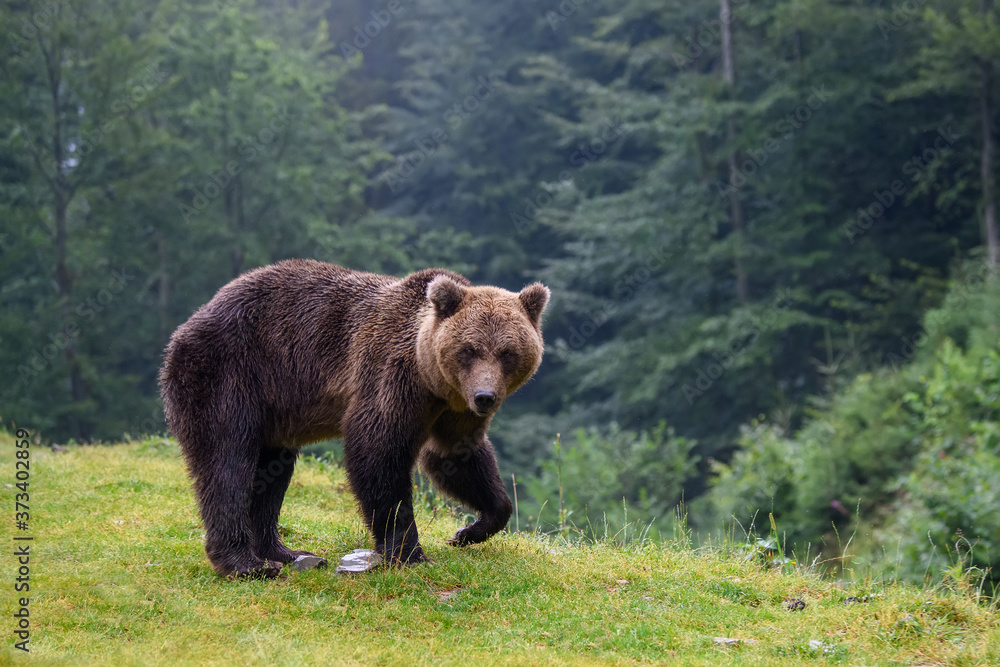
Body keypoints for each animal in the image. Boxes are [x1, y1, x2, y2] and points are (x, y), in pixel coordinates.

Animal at [158, 260, 548, 580]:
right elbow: (378, 452)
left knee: (271, 471)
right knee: (228, 461)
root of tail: (189, 323)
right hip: (231, 372)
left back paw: (283, 551)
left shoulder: (453, 411)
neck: (432, 380)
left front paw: (469, 530)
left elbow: (457, 457)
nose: (485, 397)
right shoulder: (391, 376)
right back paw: (246, 563)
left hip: (274, 408)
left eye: (507, 352)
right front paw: (410, 553)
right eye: (470, 349)